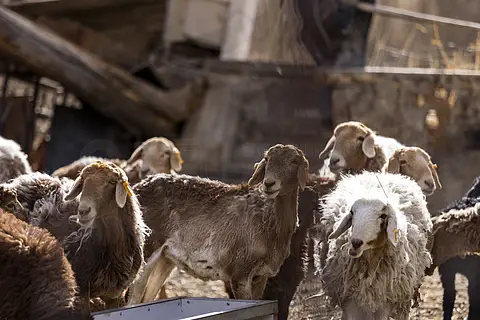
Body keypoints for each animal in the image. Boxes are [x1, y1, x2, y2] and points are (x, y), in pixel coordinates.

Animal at [126, 144, 308, 304]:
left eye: (294, 161)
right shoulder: (239, 274)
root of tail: (136, 189)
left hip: (164, 259)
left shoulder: (261, 276)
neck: (269, 226)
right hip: (146, 252)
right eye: (267, 159)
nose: (269, 183)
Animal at [318, 171, 432, 318]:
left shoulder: (385, 299)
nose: (355, 243)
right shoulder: (349, 298)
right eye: (352, 212)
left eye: (383, 216)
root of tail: (379, 173)